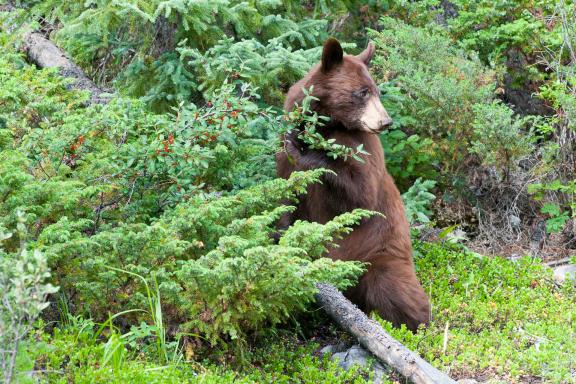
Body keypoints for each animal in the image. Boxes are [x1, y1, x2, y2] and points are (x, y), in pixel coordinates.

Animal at [276, 39, 430, 332]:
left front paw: (311, 153)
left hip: (381, 257)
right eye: (362, 92)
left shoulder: (363, 148)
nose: (385, 121)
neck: (328, 124)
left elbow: (361, 197)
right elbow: (286, 197)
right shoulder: (284, 154)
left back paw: (416, 326)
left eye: (376, 91)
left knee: (395, 289)